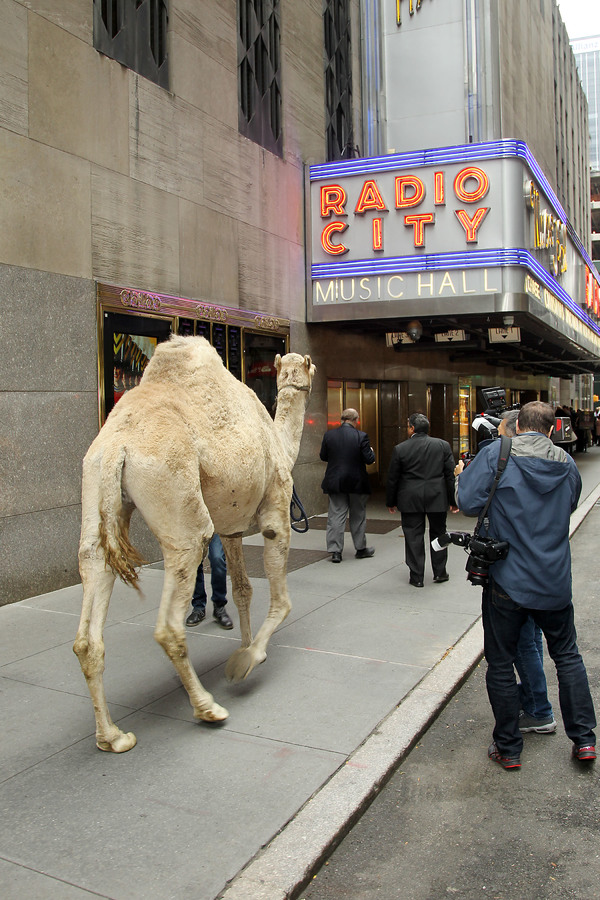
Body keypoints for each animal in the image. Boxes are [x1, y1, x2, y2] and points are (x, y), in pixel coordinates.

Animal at [74, 334, 316, 748]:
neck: (280, 443)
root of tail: (117, 445)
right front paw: (248, 660)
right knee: (170, 621)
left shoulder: (231, 529)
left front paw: (245, 645)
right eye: (308, 365)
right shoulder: (277, 510)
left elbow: (242, 589)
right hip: (178, 504)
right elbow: (282, 600)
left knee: (91, 597)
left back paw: (112, 737)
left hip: (97, 490)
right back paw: (208, 708)